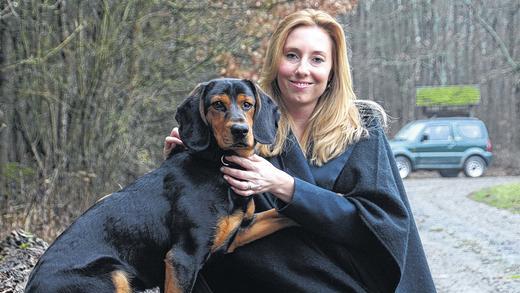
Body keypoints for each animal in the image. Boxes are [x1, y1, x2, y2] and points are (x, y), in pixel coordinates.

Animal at [25, 78, 296, 292]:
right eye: (217, 104)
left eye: (247, 104)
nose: (240, 130)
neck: (216, 164)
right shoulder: (182, 257)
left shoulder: (237, 233)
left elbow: (281, 215)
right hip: (114, 275)